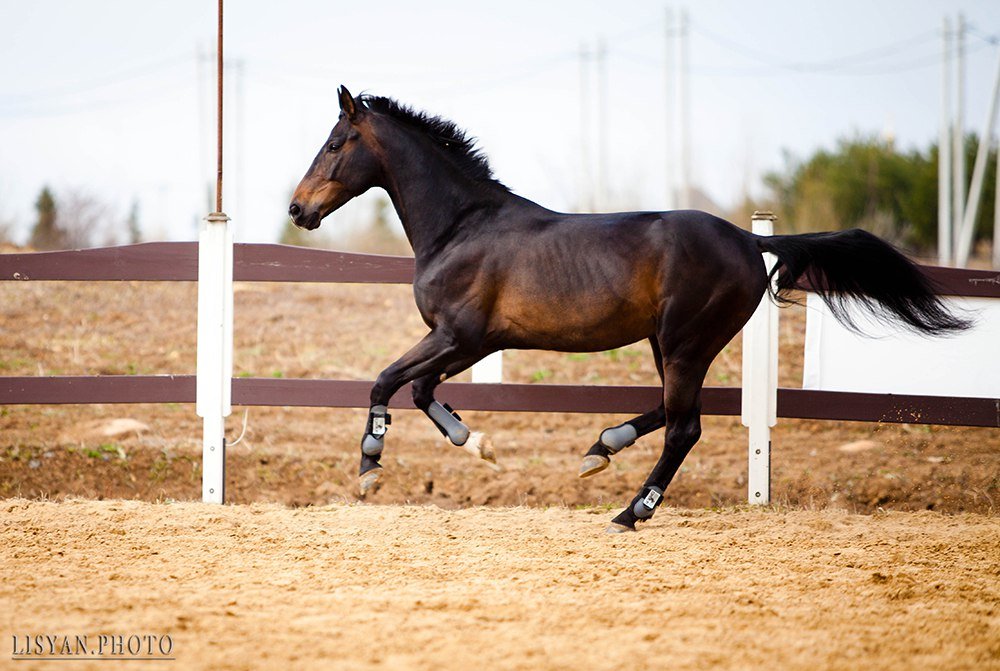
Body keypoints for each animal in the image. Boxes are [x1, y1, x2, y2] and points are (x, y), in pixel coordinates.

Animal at [288, 85, 968, 536]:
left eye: (334, 143)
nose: (298, 210)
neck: (462, 226)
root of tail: (751, 242)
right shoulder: (469, 343)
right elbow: (421, 389)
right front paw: (475, 443)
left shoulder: (461, 334)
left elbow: (386, 381)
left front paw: (370, 469)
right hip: (667, 343)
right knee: (674, 413)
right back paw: (601, 449)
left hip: (687, 341)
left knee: (684, 426)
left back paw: (630, 512)